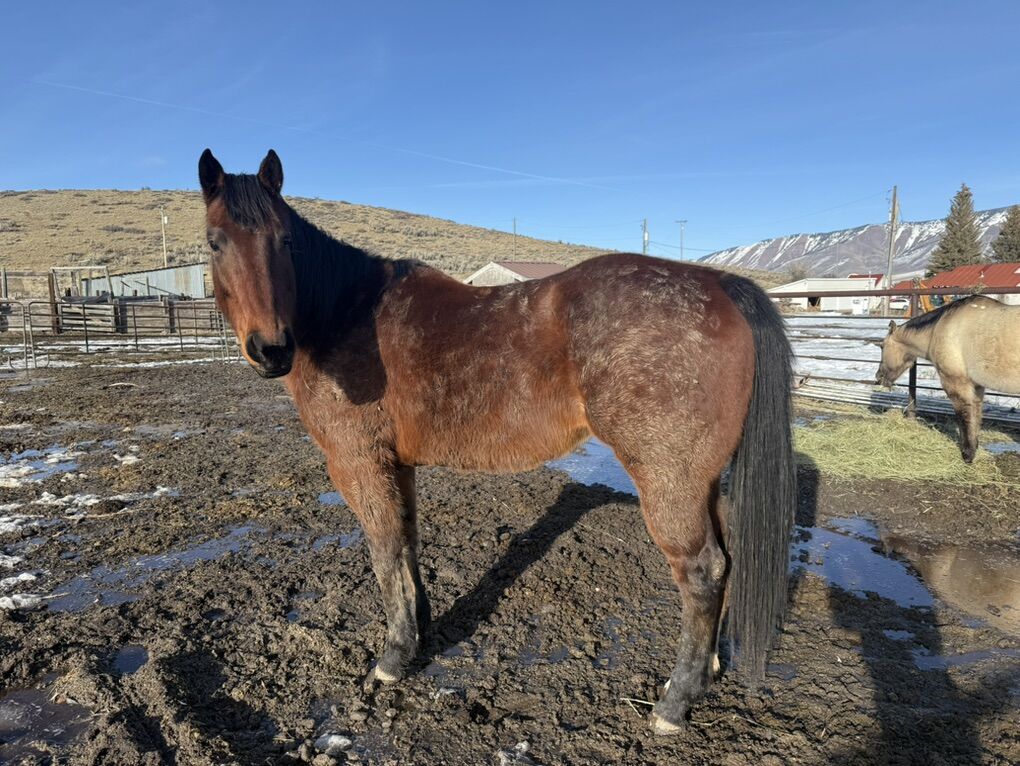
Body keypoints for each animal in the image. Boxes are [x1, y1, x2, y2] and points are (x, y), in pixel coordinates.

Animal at [197, 148, 796, 733]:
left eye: (286, 241)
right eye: (214, 241)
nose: (271, 349)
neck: (346, 313)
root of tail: (720, 286)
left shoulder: (359, 464)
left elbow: (385, 551)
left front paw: (392, 658)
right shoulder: (398, 464)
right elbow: (408, 542)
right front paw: (420, 628)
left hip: (669, 481)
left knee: (702, 571)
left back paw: (674, 703)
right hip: (702, 481)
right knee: (726, 560)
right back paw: (707, 669)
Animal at [876, 295, 1020, 462]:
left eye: (882, 346)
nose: (878, 377)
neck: (939, 328)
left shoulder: (955, 383)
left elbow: (964, 415)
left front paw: (967, 454)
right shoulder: (976, 386)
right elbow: (976, 414)